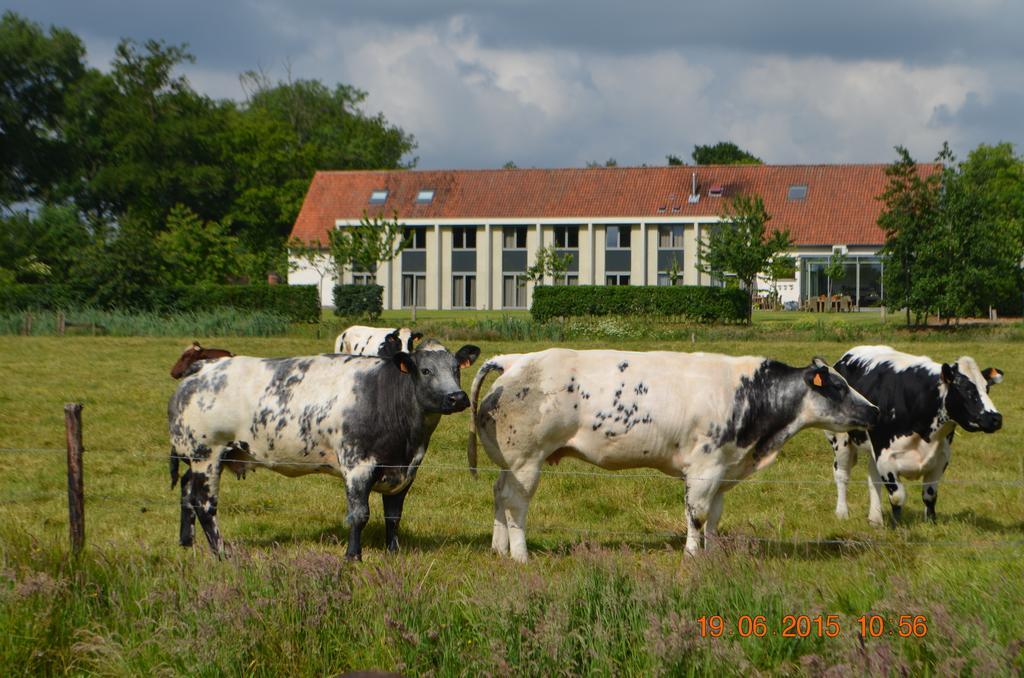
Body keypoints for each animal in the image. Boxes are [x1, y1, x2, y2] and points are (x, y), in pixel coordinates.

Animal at [169, 342, 481, 561]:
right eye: (426, 370)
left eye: (456, 369)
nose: (457, 397)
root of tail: (205, 367)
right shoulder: (357, 465)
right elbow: (359, 514)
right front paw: (353, 557)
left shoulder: (404, 471)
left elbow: (393, 515)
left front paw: (393, 552)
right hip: (206, 454)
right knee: (204, 504)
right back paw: (221, 553)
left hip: (206, 457)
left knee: (186, 490)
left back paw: (187, 541)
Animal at [468, 350, 876, 561]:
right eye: (838, 386)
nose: (874, 410)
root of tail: (515, 360)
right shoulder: (704, 467)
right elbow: (695, 515)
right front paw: (692, 556)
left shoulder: (724, 468)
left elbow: (714, 518)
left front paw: (713, 554)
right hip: (527, 461)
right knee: (516, 504)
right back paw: (519, 554)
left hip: (511, 464)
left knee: (498, 493)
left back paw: (498, 548)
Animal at [823, 346, 999, 524]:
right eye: (966, 389)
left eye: (987, 388)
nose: (996, 418)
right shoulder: (886, 457)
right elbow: (897, 497)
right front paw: (896, 525)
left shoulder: (941, 457)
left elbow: (930, 495)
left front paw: (931, 523)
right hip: (840, 439)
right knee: (842, 474)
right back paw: (842, 513)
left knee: (873, 478)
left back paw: (875, 519)